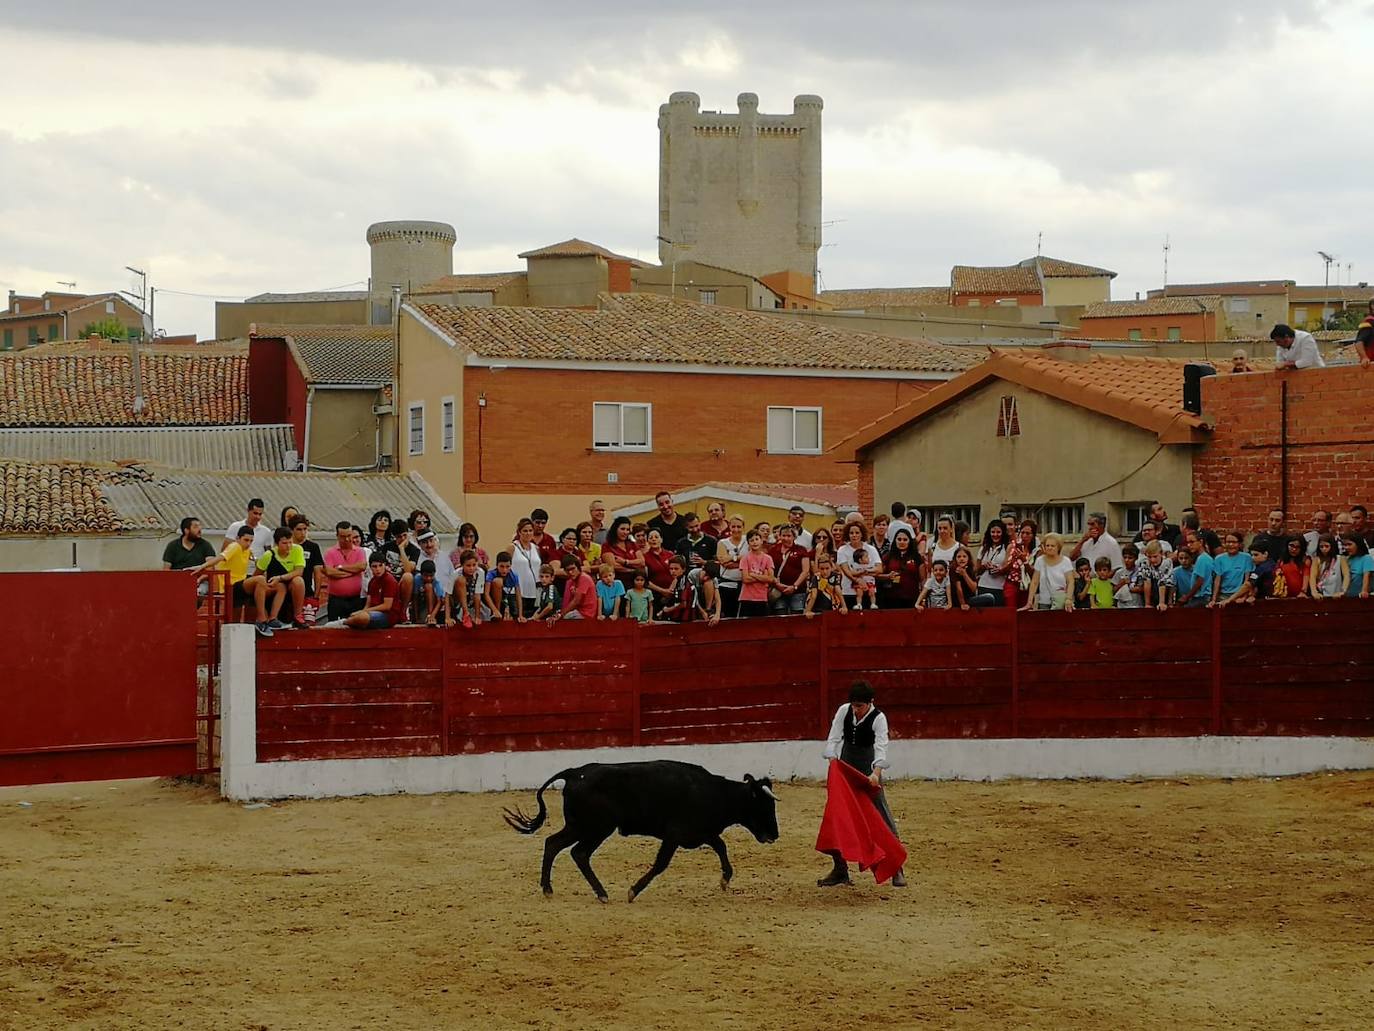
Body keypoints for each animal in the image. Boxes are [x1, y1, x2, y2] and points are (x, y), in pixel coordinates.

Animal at [505, 758, 785, 901]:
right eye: (763, 805)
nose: (774, 834)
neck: (714, 793)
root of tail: (575, 773)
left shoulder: (701, 833)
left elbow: (721, 846)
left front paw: (725, 879)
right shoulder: (674, 835)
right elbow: (661, 863)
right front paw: (633, 891)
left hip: (581, 826)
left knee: (555, 844)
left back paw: (551, 889)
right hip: (596, 827)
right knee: (577, 852)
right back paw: (599, 893)